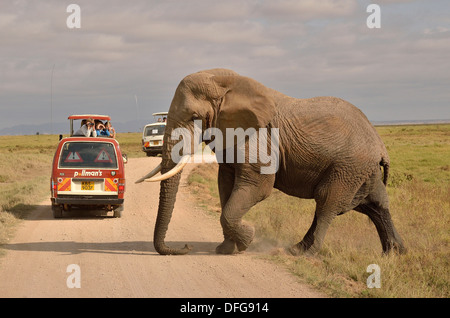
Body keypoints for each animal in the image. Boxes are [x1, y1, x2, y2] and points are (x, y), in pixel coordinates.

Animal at [135, 69, 406, 256]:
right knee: (373, 204)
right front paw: (226, 249)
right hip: (361, 169)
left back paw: (306, 254)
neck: (228, 82)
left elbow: (257, 187)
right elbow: (225, 185)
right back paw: (394, 254)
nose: (185, 247)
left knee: (328, 201)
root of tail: (380, 144)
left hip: (349, 166)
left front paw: (247, 239)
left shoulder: (258, 137)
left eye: (194, 117)